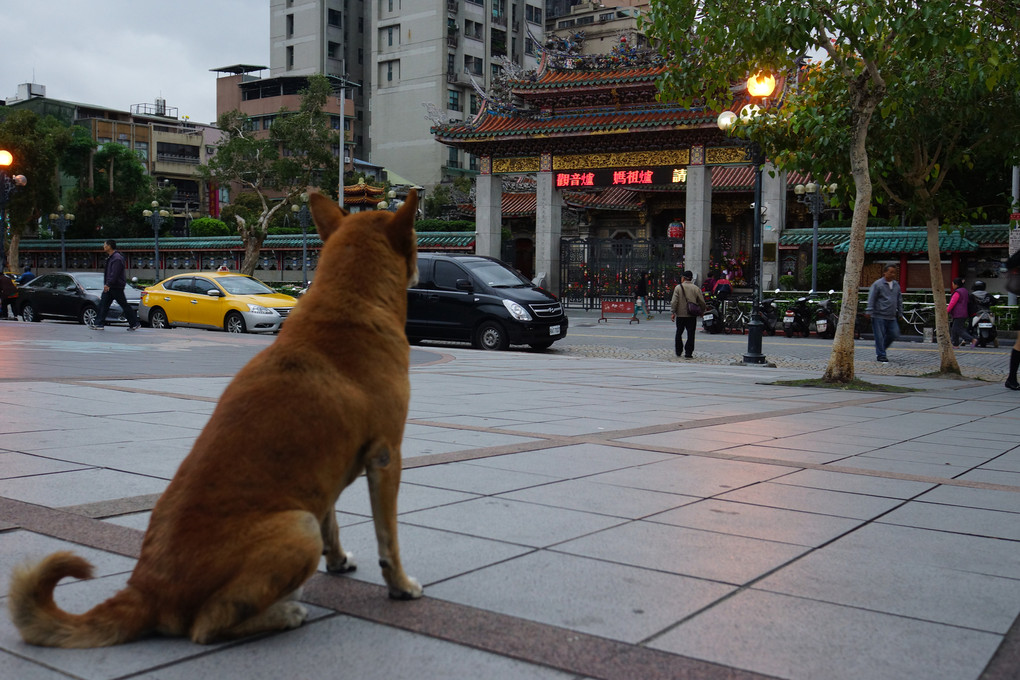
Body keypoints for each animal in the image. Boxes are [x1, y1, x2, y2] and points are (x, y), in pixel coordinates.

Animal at [8, 188, 422, 648]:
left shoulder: (326, 475)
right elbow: (389, 538)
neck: (349, 301)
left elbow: (333, 523)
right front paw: (401, 585)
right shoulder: (386, 457)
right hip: (298, 527)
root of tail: (146, 590)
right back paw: (284, 614)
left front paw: (338, 561)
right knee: (208, 625)